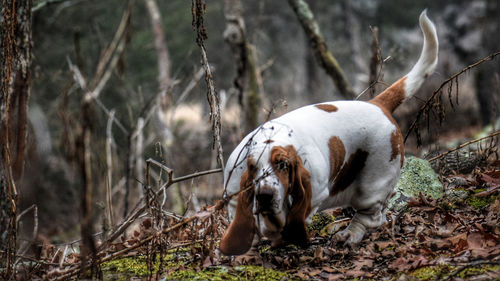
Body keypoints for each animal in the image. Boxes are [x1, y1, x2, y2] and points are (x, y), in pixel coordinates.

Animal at [219, 10, 438, 255]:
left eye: (283, 165)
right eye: (252, 167)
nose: (265, 195)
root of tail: (377, 104)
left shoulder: (314, 194)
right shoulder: (233, 197)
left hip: (372, 187)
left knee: (370, 217)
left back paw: (349, 235)